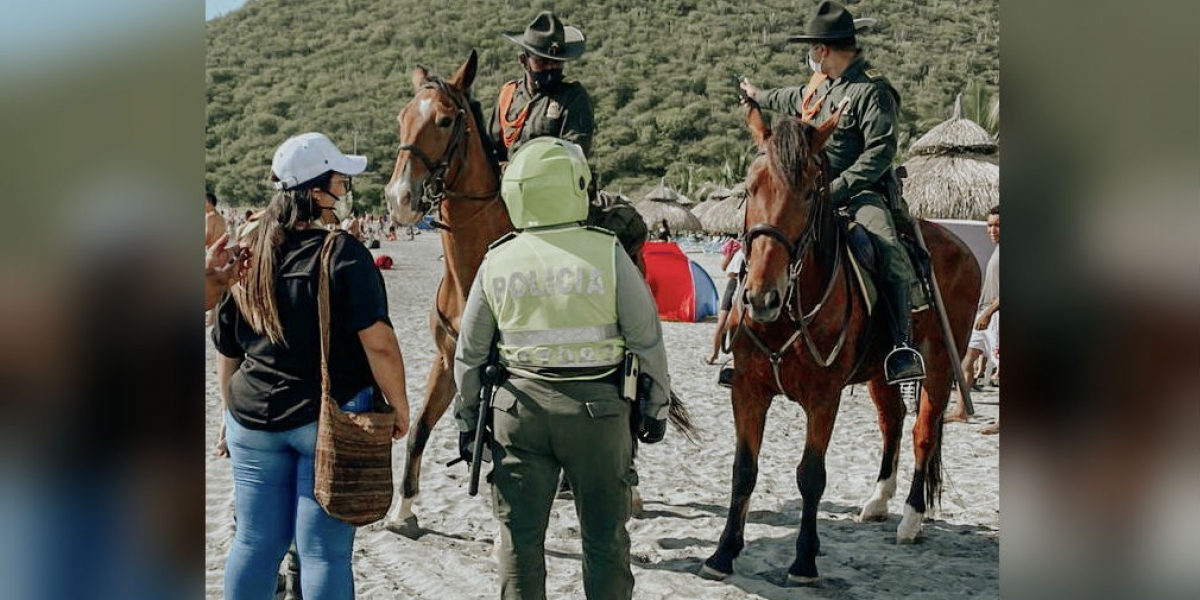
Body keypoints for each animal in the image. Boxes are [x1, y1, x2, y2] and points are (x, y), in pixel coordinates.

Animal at [379, 51, 511, 537]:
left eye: (445, 119)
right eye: (402, 117)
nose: (399, 198)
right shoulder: (447, 359)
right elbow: (418, 428)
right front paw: (403, 510)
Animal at [700, 103, 979, 585]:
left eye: (810, 192)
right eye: (750, 188)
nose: (761, 297)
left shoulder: (823, 397)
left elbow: (811, 476)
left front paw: (804, 560)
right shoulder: (748, 390)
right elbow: (743, 470)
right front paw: (723, 553)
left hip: (942, 364)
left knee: (923, 432)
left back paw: (911, 519)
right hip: (882, 373)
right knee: (893, 420)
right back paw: (879, 501)